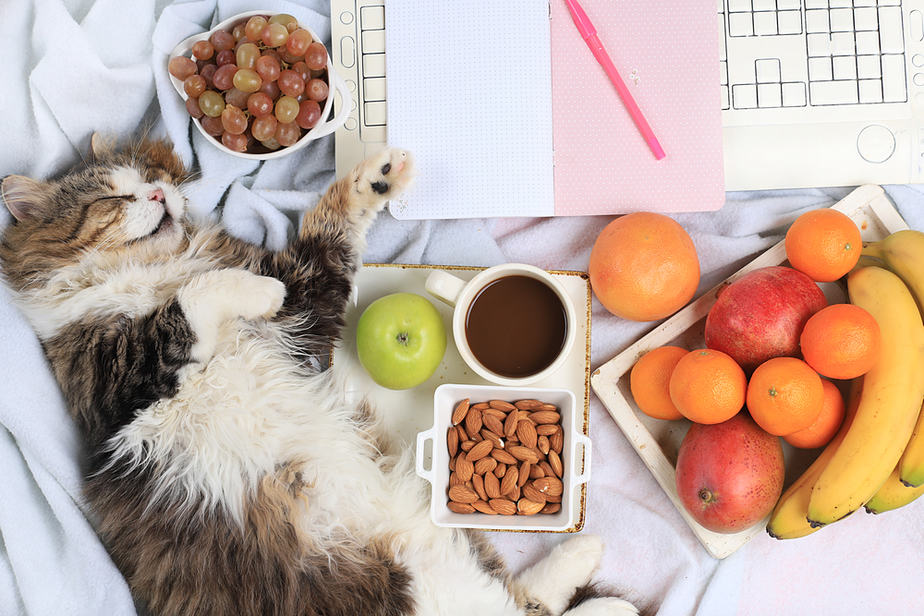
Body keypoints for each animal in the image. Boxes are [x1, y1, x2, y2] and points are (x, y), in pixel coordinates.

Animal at [0, 137, 636, 612]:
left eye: (155, 175)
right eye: (114, 194)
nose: (159, 193)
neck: (160, 271)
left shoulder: (306, 311)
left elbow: (327, 232)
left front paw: (378, 176)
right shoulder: (121, 384)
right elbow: (196, 299)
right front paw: (254, 290)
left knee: (527, 599)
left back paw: (592, 565)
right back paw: (602, 583)